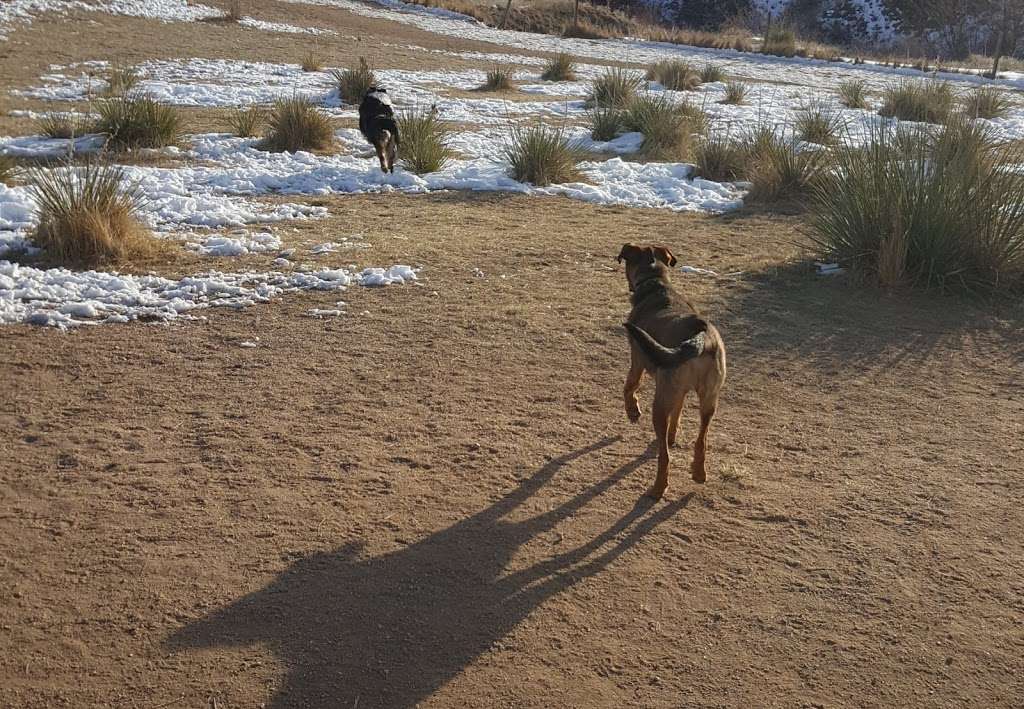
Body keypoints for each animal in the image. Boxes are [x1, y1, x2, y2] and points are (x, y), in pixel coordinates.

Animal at [618, 243, 724, 497]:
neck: (656, 284)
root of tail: (700, 334)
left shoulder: (637, 360)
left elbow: (630, 387)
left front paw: (632, 411)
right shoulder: (681, 392)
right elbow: (678, 414)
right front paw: (673, 436)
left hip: (660, 402)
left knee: (664, 456)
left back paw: (658, 487)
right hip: (709, 400)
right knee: (701, 440)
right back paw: (698, 472)